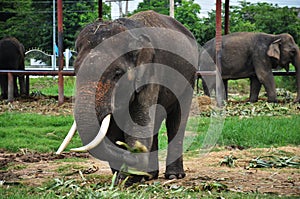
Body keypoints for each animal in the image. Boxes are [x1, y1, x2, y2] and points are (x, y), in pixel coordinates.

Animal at [56, 9, 199, 183]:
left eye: (117, 73)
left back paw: (173, 175)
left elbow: (139, 123)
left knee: (176, 120)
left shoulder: (151, 73)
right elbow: (117, 128)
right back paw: (150, 175)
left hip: (189, 77)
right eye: (76, 71)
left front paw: (128, 178)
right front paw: (123, 178)